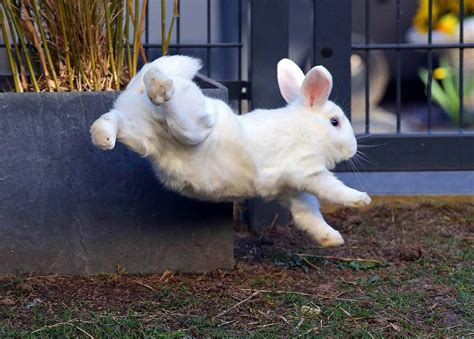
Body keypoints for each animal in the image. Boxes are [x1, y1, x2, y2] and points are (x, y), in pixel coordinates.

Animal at [90, 55, 370, 247]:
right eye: (334, 122)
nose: (353, 148)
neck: (307, 128)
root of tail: (139, 95)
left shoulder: (292, 192)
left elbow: (308, 215)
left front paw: (332, 239)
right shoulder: (307, 170)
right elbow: (332, 188)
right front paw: (361, 200)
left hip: (141, 134)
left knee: (115, 118)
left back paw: (102, 138)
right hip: (193, 125)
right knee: (169, 98)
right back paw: (160, 85)